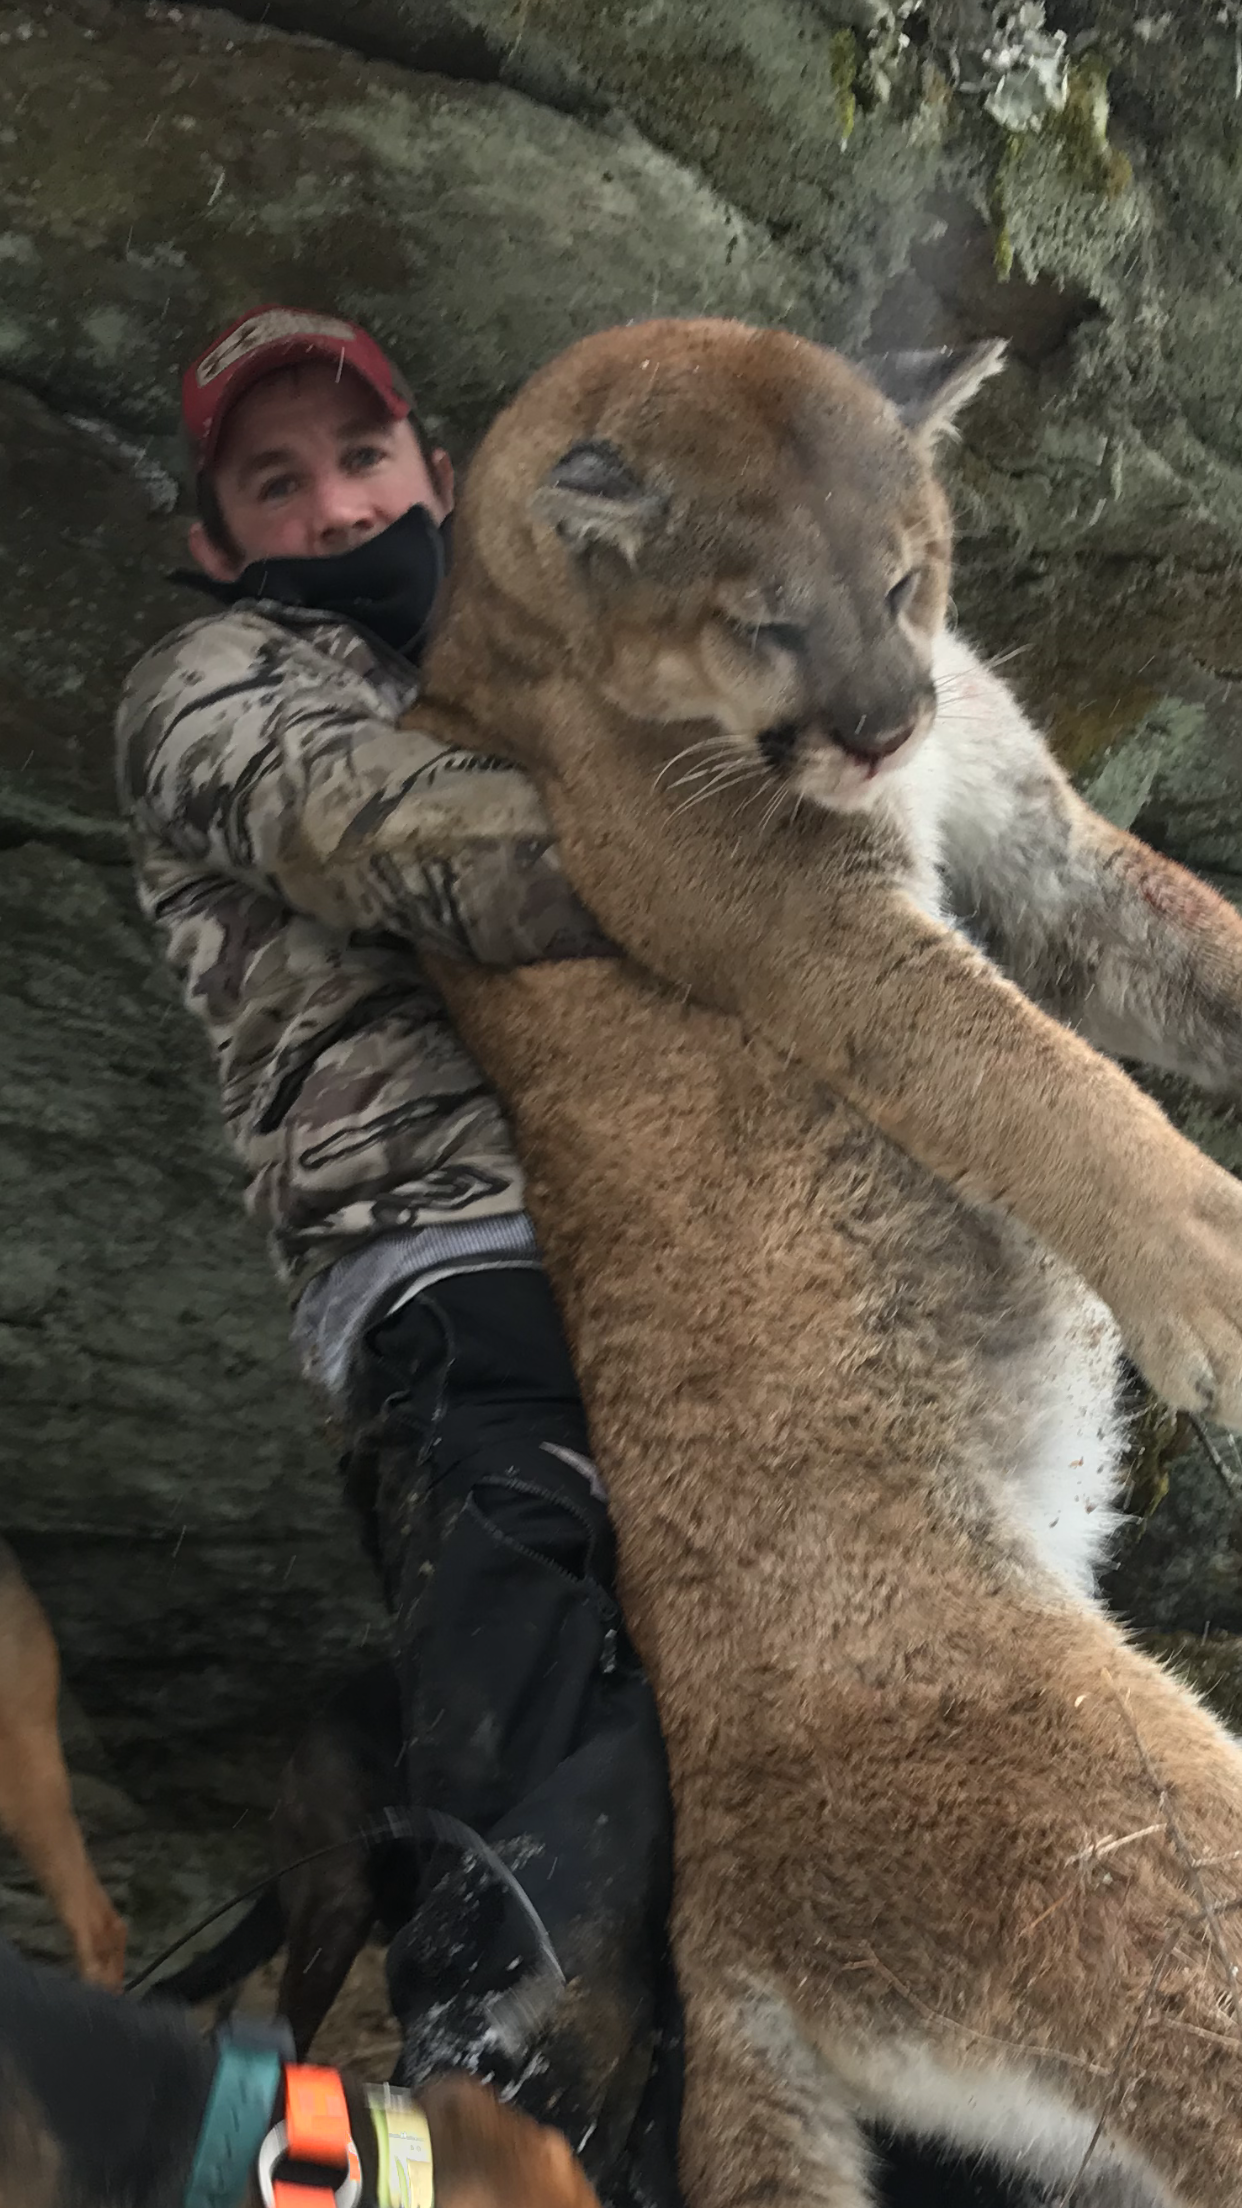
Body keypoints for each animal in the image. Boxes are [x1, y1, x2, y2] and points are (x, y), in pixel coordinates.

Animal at [344, 319, 1242, 2204]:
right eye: (765, 619)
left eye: (907, 580)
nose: (884, 723)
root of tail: (716, 1932)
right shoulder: (794, 921)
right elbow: (1023, 1076)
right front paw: (1218, 1286)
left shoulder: (1035, 834)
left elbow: (1174, 953)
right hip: (1123, 1841)